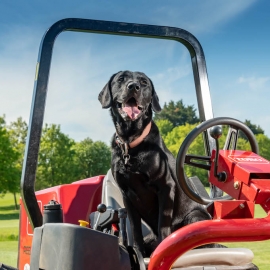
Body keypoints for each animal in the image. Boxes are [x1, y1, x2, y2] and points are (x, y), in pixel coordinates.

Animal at [98, 70, 212, 256]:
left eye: (144, 82)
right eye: (121, 79)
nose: (133, 86)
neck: (131, 143)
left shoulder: (165, 187)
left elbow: (162, 225)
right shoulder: (126, 194)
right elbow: (135, 228)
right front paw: (139, 251)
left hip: (194, 217)